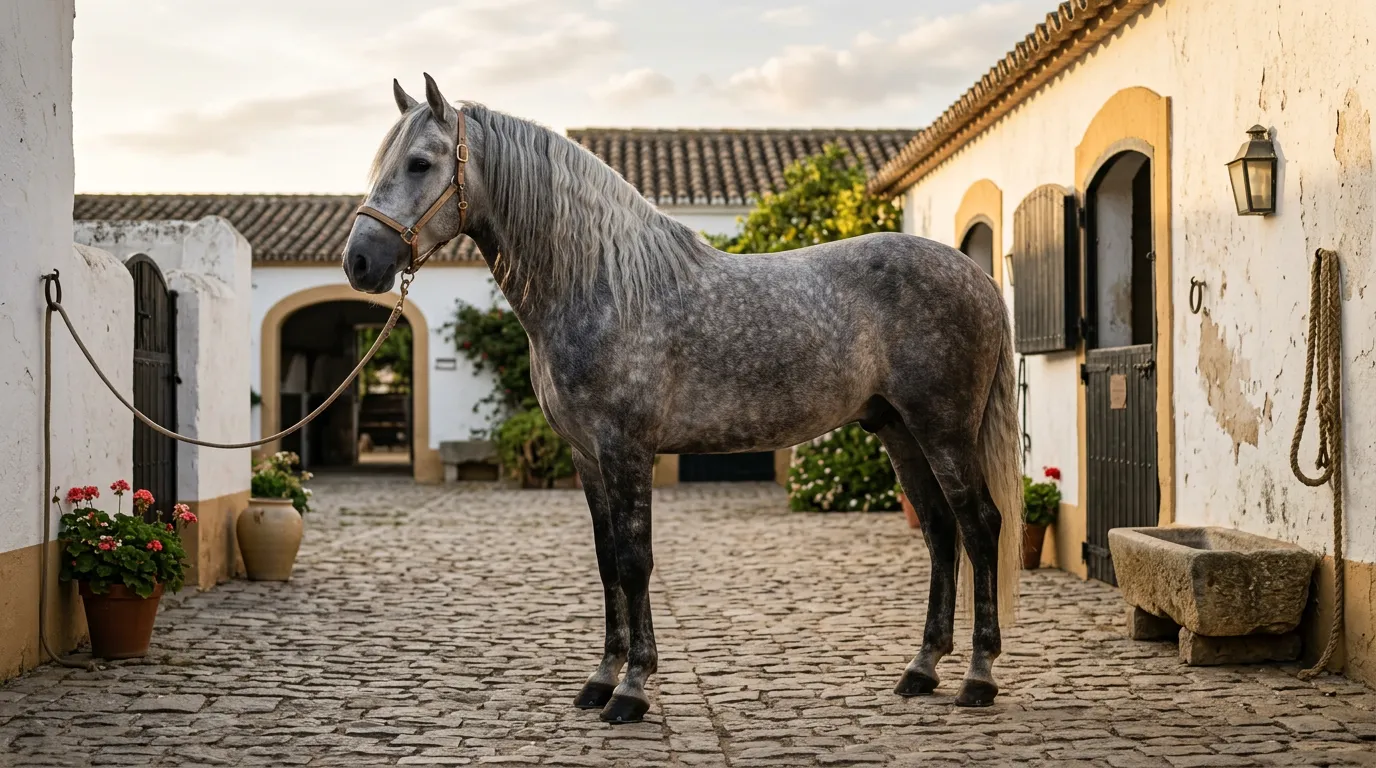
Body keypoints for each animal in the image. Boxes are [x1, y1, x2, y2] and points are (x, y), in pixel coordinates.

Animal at [342, 74, 1023, 724]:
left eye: (420, 163)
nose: (359, 262)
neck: (604, 285)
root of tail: (976, 273)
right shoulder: (587, 456)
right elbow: (608, 562)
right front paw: (601, 679)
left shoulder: (627, 449)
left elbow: (635, 561)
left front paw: (633, 690)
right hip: (898, 429)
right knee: (940, 529)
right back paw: (922, 669)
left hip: (943, 429)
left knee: (980, 524)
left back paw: (978, 677)